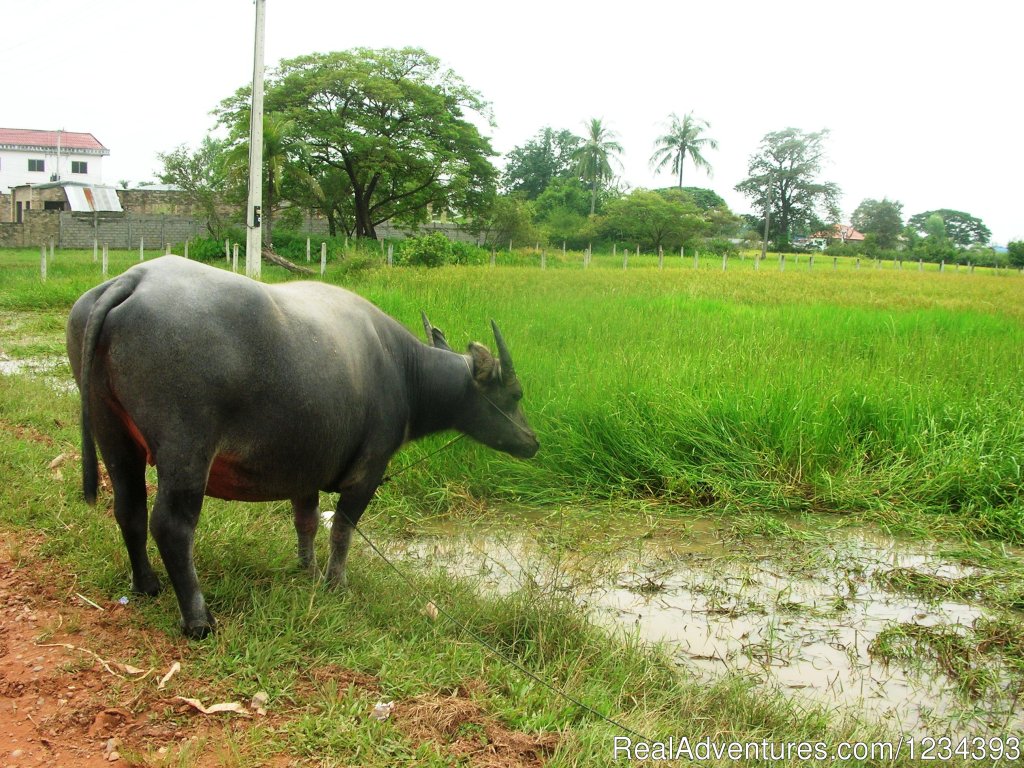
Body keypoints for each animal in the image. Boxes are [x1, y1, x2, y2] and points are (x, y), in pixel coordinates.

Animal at [67, 256, 540, 638]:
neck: (404, 372)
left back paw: (146, 585)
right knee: (171, 526)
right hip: (185, 448)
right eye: (515, 394)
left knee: (128, 507)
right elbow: (342, 530)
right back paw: (199, 620)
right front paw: (336, 582)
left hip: (113, 432)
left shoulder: (305, 469)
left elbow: (307, 521)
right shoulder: (367, 473)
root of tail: (134, 279)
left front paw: (306, 569)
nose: (532, 442)